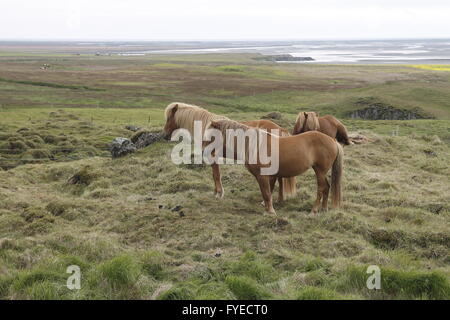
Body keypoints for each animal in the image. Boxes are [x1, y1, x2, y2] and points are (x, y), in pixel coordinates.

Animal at [163, 102, 298, 201]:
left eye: (169, 118)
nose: (164, 135)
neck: (207, 127)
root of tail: (280, 129)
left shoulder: (213, 156)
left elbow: (216, 175)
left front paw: (219, 193)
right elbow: (214, 175)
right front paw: (215, 192)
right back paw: (280, 199)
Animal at [207, 119, 344, 214]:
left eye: (211, 137)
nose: (207, 155)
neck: (255, 145)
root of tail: (332, 141)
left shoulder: (262, 176)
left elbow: (267, 193)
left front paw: (271, 211)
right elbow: (267, 192)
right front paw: (268, 208)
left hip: (320, 171)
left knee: (321, 188)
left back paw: (314, 210)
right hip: (321, 172)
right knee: (327, 187)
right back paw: (324, 208)